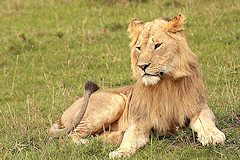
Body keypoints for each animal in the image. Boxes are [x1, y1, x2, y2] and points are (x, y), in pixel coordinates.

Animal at [49, 13, 226, 158]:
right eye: (139, 48)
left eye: (157, 45)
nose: (142, 66)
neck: (166, 83)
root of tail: (62, 114)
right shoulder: (141, 120)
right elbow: (131, 136)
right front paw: (121, 151)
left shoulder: (199, 107)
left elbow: (206, 121)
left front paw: (214, 136)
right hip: (114, 102)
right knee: (69, 136)